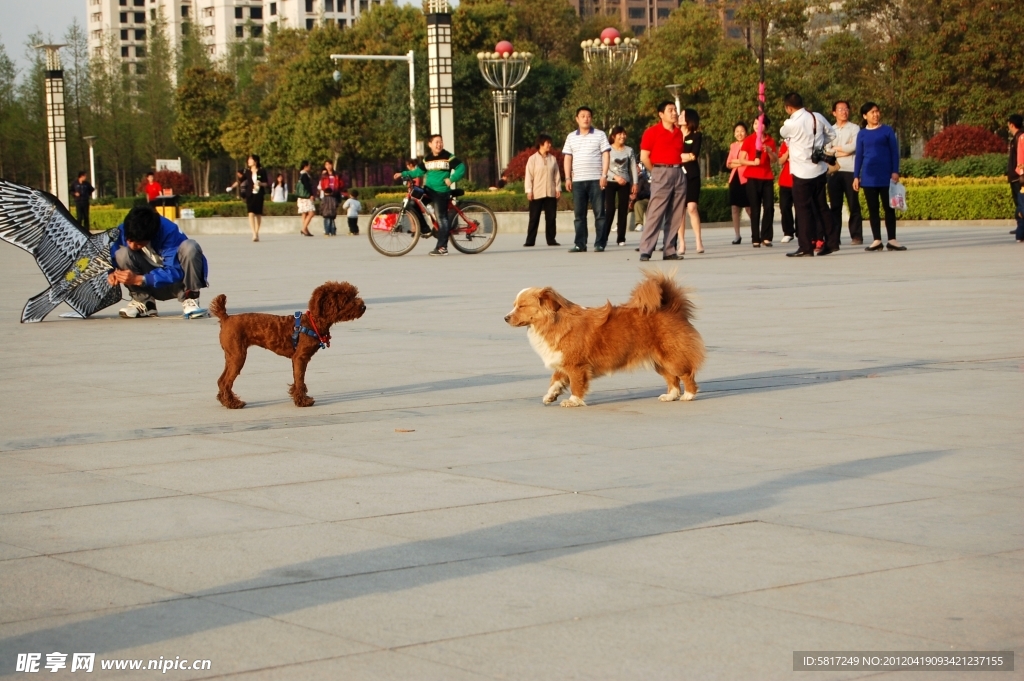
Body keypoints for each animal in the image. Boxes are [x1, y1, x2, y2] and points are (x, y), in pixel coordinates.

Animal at [209, 280, 366, 409]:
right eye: (347, 299)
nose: (364, 306)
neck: (313, 322)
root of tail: (226, 318)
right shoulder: (300, 358)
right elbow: (300, 380)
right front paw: (303, 401)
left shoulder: (296, 359)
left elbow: (297, 380)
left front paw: (300, 398)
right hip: (238, 356)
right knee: (226, 381)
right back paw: (232, 403)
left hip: (231, 356)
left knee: (221, 380)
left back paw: (225, 401)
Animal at [503, 270, 704, 409]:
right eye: (515, 305)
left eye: (521, 306)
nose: (505, 318)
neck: (554, 322)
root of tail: (672, 307)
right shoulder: (563, 361)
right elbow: (556, 380)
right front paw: (551, 396)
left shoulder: (576, 366)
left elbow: (576, 384)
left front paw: (573, 401)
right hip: (659, 361)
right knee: (672, 380)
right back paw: (670, 396)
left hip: (671, 357)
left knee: (686, 375)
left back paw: (688, 395)